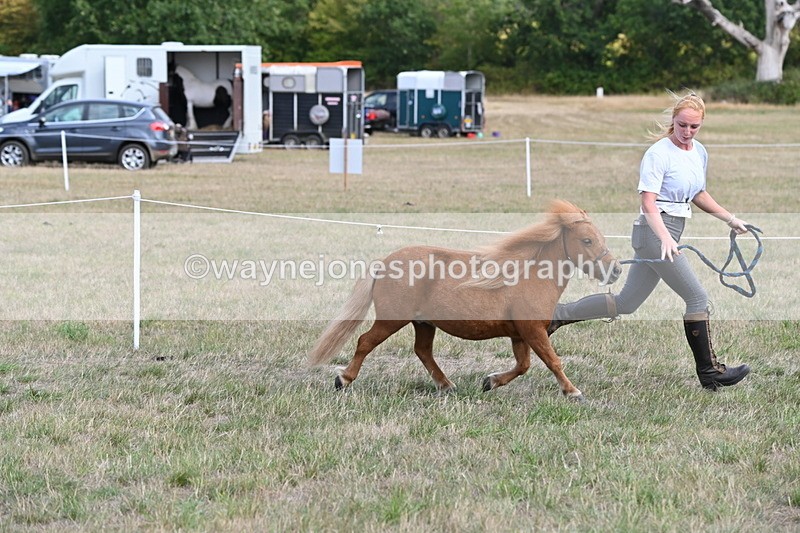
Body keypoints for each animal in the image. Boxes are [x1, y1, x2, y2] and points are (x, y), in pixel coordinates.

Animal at [308, 200, 623, 401]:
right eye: (586, 240)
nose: (616, 270)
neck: (530, 275)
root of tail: (385, 262)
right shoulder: (533, 330)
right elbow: (553, 361)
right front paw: (573, 392)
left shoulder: (520, 334)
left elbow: (523, 365)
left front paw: (490, 382)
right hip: (391, 319)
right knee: (365, 342)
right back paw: (343, 379)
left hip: (424, 323)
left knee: (422, 351)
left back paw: (446, 385)